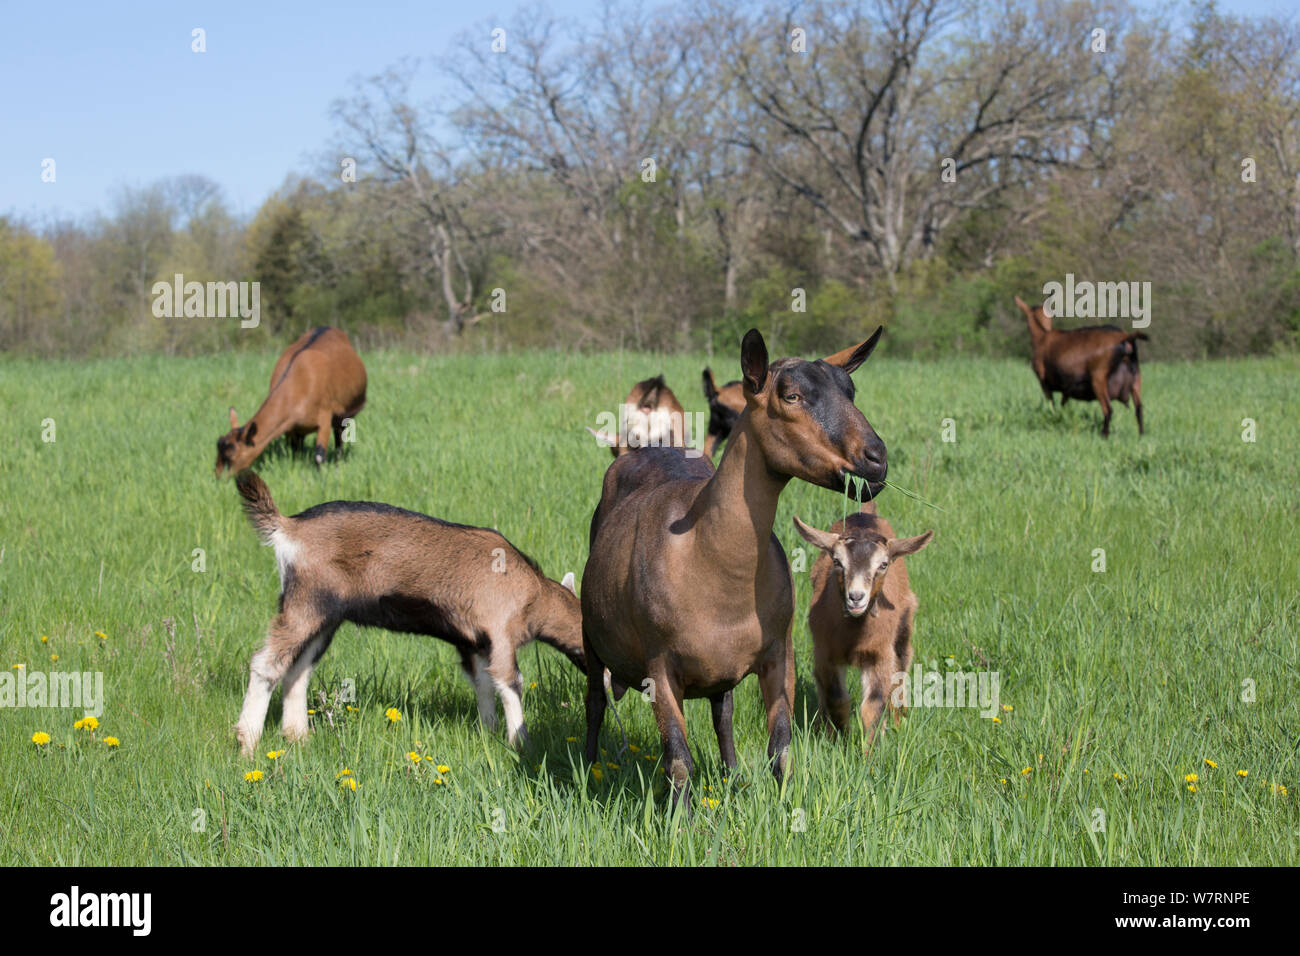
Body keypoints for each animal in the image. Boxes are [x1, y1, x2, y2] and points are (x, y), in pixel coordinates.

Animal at [216, 326, 367, 476]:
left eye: (230, 456)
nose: (218, 477)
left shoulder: (324, 417)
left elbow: (319, 456)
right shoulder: (291, 428)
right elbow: (294, 453)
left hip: (342, 415)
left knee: (338, 439)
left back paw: (337, 463)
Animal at [231, 471, 585, 757]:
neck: (534, 594)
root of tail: (287, 527)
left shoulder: (472, 641)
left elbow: (483, 683)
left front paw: (490, 732)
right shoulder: (499, 631)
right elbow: (511, 682)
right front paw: (520, 742)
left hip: (325, 616)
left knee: (298, 667)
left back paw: (297, 737)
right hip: (306, 601)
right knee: (266, 663)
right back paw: (247, 744)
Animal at [581, 327, 888, 805]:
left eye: (850, 390)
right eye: (791, 395)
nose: (876, 458)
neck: (709, 558)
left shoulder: (780, 654)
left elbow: (781, 749)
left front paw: (785, 811)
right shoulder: (659, 667)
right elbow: (678, 761)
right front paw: (681, 823)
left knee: (721, 712)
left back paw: (731, 774)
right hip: (591, 635)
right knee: (595, 701)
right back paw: (589, 767)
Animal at [793, 503, 933, 752]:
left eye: (883, 564)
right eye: (837, 561)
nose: (856, 597)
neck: (854, 636)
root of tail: (866, 512)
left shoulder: (879, 654)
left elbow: (873, 704)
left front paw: (870, 750)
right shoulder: (825, 653)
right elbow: (836, 697)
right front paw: (840, 739)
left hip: (904, 626)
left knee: (901, 668)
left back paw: (898, 723)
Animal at [1016, 296, 1147, 437]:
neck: (1042, 336)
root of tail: (1125, 338)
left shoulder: (1043, 382)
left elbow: (1052, 405)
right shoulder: (1066, 388)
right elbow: (1063, 405)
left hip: (1098, 379)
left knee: (1108, 410)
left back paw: (1104, 435)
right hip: (1136, 377)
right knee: (1139, 409)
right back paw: (1141, 436)